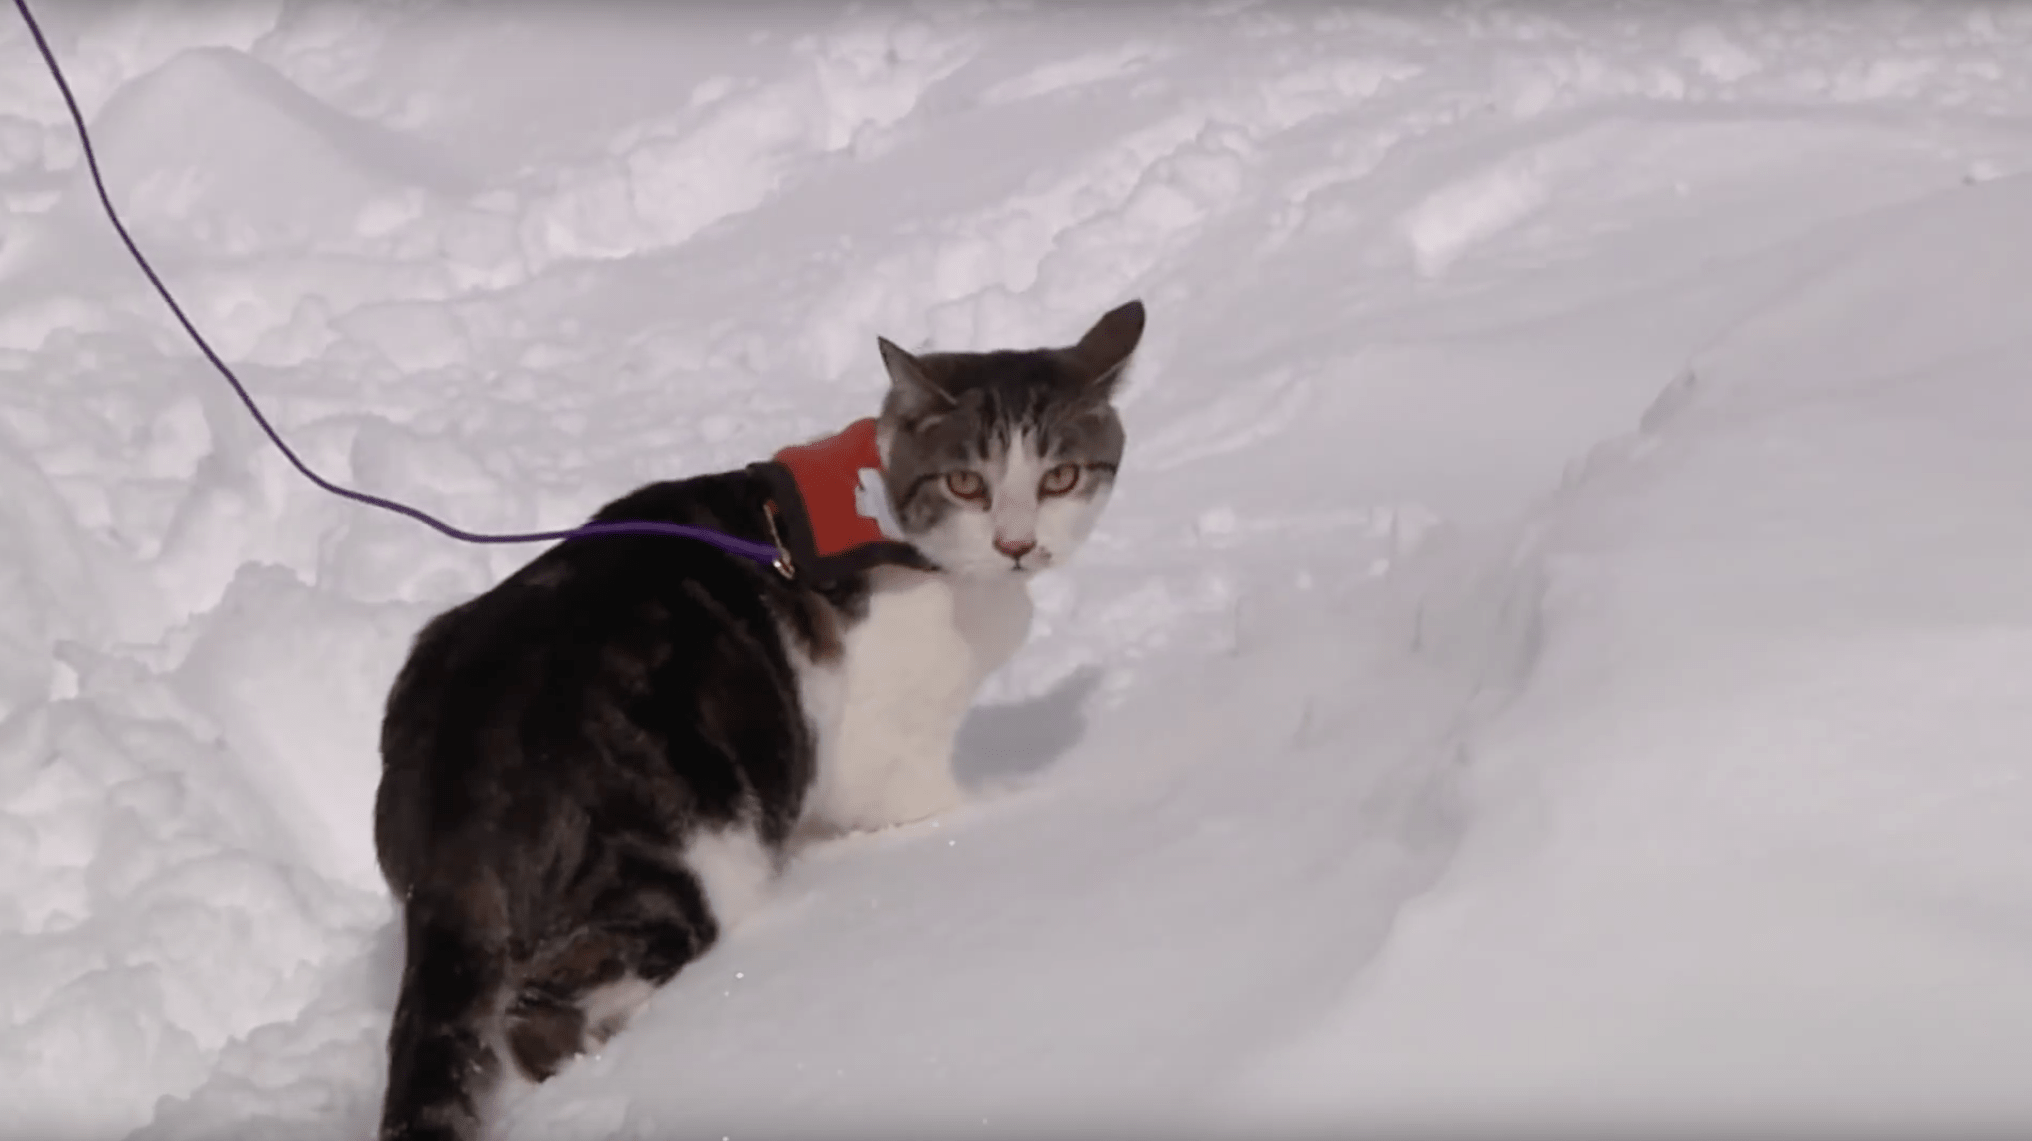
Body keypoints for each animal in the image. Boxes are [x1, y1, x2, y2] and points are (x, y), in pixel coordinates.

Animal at [373, 300, 1137, 1136]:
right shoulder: (883, 755)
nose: (1017, 544)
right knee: (539, 1004)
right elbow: (935, 807)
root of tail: (458, 754)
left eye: (1060, 477)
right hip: (682, 861)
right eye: (967, 483)